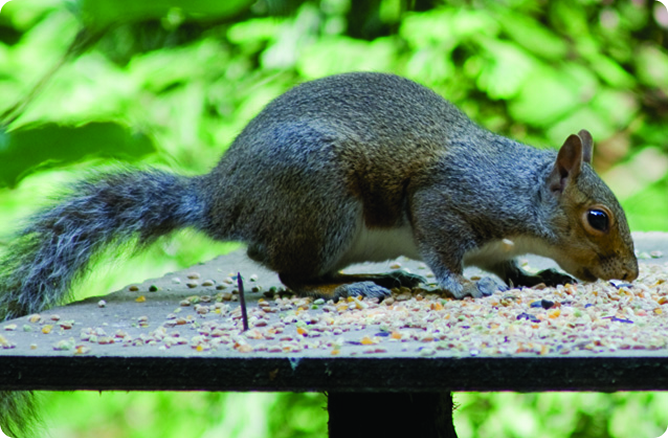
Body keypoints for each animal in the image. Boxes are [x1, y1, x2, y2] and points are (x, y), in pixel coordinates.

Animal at [0, 72, 638, 321]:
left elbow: (507, 264)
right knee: (289, 273)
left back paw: (384, 277)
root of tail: (222, 198)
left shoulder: (492, 239)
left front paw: (531, 277)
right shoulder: (447, 199)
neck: (517, 193)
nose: (630, 275)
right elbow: (444, 250)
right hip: (321, 202)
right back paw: (347, 287)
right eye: (598, 218)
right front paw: (463, 286)